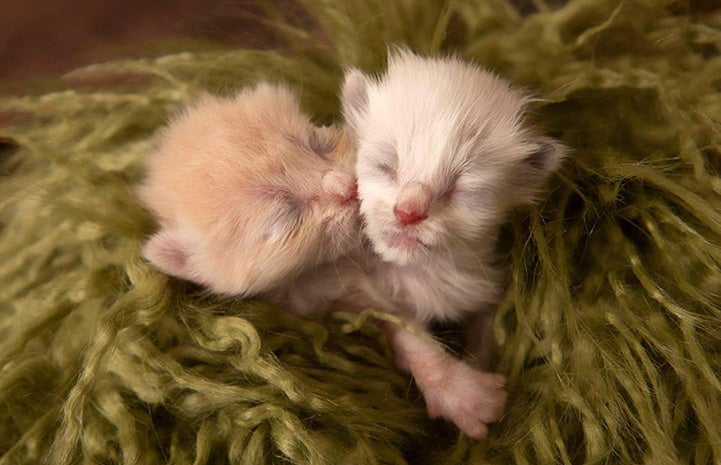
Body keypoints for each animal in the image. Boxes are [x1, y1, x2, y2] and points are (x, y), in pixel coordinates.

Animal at [334, 50, 572, 438]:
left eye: (462, 189)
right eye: (386, 166)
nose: (408, 212)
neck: (422, 271)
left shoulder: (485, 287)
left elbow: (487, 332)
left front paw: (480, 365)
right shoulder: (349, 292)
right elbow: (408, 333)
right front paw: (463, 394)